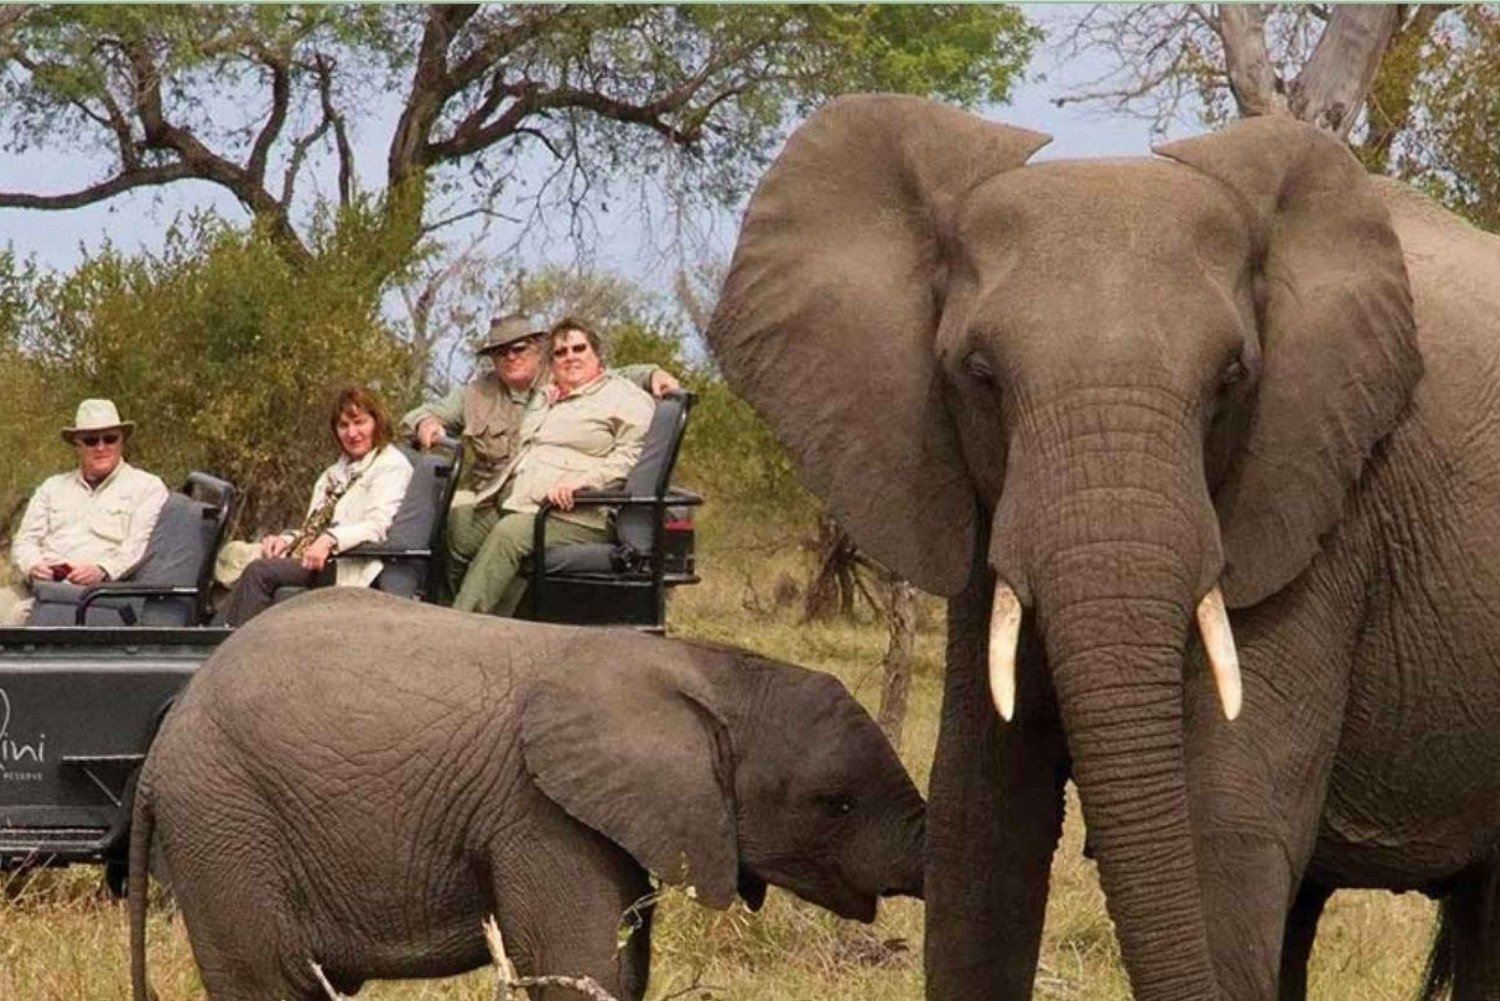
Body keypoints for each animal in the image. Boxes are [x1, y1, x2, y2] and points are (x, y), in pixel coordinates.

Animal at [127, 587, 925, 1001]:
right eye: (835, 803)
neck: (700, 665)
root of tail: (167, 735)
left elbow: (622, 971)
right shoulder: (538, 813)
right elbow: (579, 969)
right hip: (225, 819)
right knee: (271, 985)